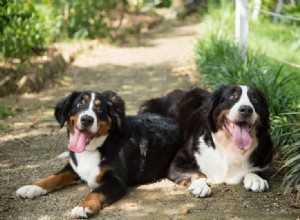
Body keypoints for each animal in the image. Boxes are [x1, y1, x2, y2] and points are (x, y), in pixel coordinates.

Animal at [16, 90, 182, 218]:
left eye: (100, 109)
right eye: (79, 104)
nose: (87, 119)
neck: (92, 149)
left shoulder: (116, 180)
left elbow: (95, 192)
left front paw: (84, 206)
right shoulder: (74, 167)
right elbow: (55, 176)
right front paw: (32, 187)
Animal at [138, 85, 274, 197]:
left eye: (255, 100)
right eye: (232, 97)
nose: (246, 109)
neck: (230, 147)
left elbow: (256, 170)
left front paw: (256, 179)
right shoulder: (178, 161)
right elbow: (199, 173)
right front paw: (200, 185)